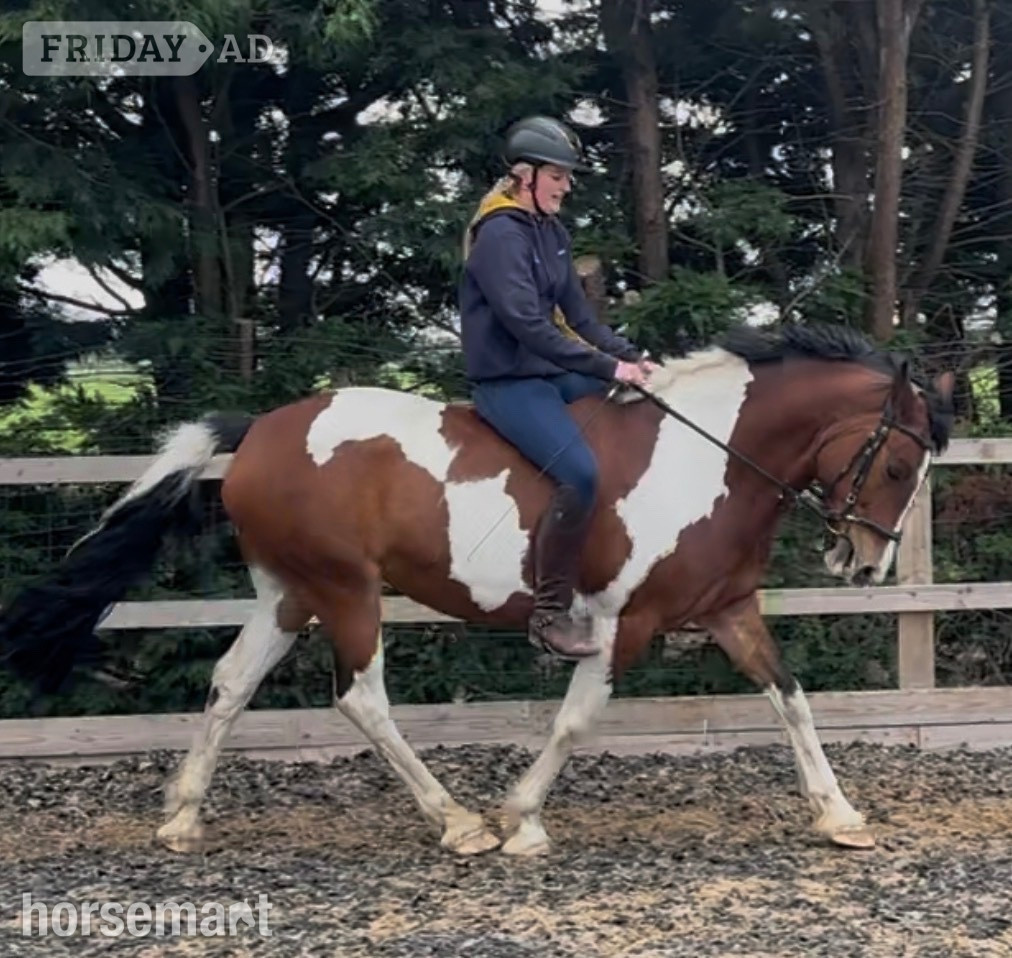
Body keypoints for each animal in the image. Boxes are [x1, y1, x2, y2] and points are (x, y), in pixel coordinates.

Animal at [0, 323, 954, 857]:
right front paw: (520, 820)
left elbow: (791, 698)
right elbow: (574, 722)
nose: (864, 564)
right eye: (895, 464)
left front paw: (839, 813)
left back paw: (182, 818)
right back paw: (456, 822)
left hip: (288, 593)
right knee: (362, 699)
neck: (709, 456)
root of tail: (264, 430)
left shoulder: (728, 611)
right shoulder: (625, 622)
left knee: (230, 683)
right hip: (348, 592)